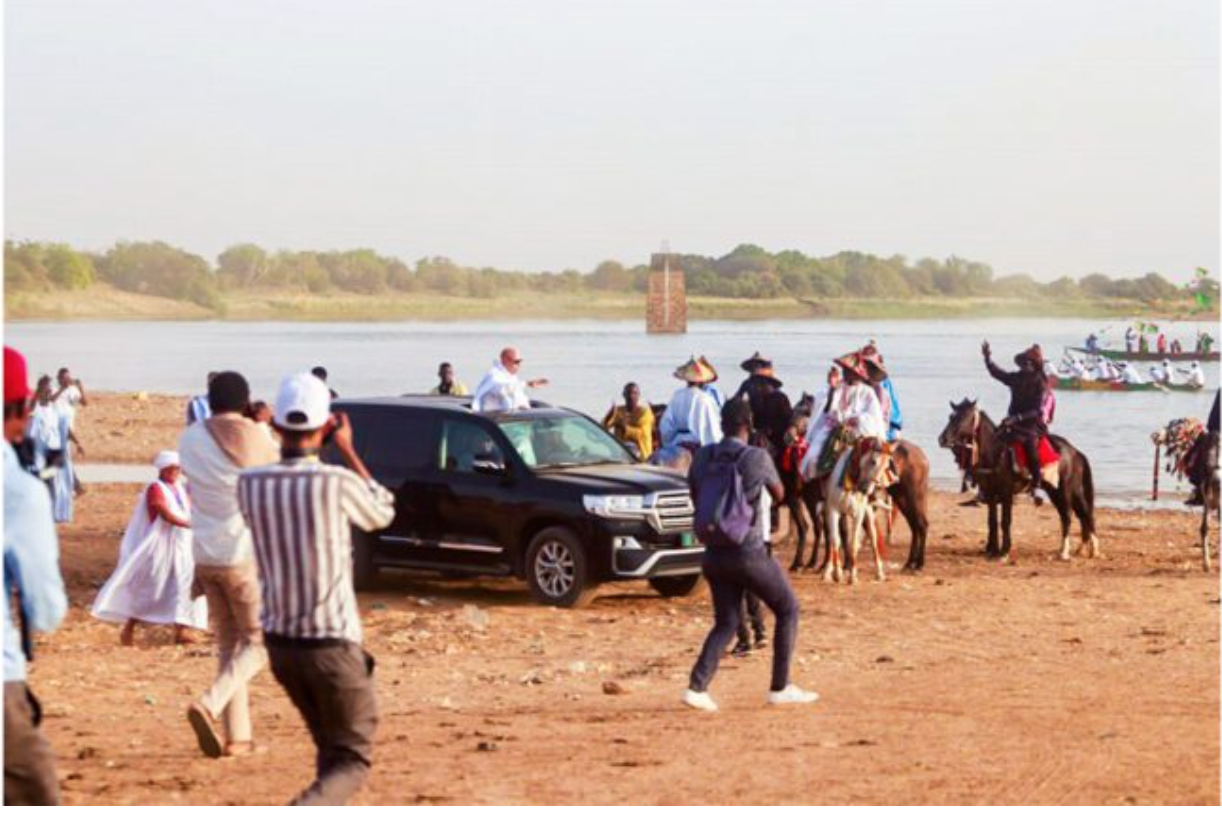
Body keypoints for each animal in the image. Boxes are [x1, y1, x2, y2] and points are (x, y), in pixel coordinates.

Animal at [938, 398, 1104, 557]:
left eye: (964, 417)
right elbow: (992, 520)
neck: (997, 453)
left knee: (1072, 515)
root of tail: (1075, 452)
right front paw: (992, 549)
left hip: (1066, 489)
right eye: (951, 417)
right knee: (1080, 514)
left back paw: (1068, 552)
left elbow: (1005, 521)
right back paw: (1084, 549)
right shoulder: (990, 493)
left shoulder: (1006, 493)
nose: (942, 439)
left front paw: (1004, 551)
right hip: (1057, 491)